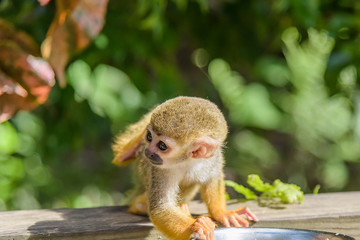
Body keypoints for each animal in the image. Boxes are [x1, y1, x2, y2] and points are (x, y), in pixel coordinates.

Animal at [112, 96, 256, 239]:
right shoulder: (159, 169)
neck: (187, 160)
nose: (148, 152)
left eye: (162, 146)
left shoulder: (213, 157)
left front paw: (221, 212)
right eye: (149, 136)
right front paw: (195, 226)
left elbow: (213, 179)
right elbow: (161, 208)